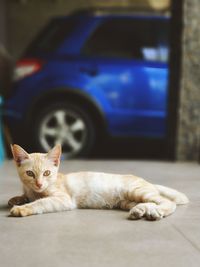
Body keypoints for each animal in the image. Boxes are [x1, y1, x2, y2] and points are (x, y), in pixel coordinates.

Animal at [8, 146, 189, 221]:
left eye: (47, 173)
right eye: (30, 174)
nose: (39, 184)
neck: (35, 191)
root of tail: (147, 181)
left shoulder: (63, 199)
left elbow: (40, 203)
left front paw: (21, 208)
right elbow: (25, 196)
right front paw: (17, 199)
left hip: (135, 191)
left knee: (167, 202)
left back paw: (156, 212)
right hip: (127, 201)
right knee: (151, 202)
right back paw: (140, 211)